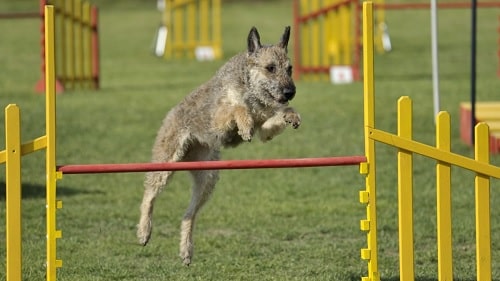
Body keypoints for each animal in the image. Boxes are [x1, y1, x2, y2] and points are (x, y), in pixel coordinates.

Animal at [137, 26, 300, 264]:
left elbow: (273, 118)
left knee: (188, 215)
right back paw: (144, 232)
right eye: (270, 68)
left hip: (208, 178)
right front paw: (244, 125)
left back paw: (186, 251)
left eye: (290, 69)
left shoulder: (264, 128)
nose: (290, 92)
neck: (249, 87)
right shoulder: (218, 118)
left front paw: (291, 115)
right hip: (165, 163)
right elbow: (237, 108)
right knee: (149, 195)